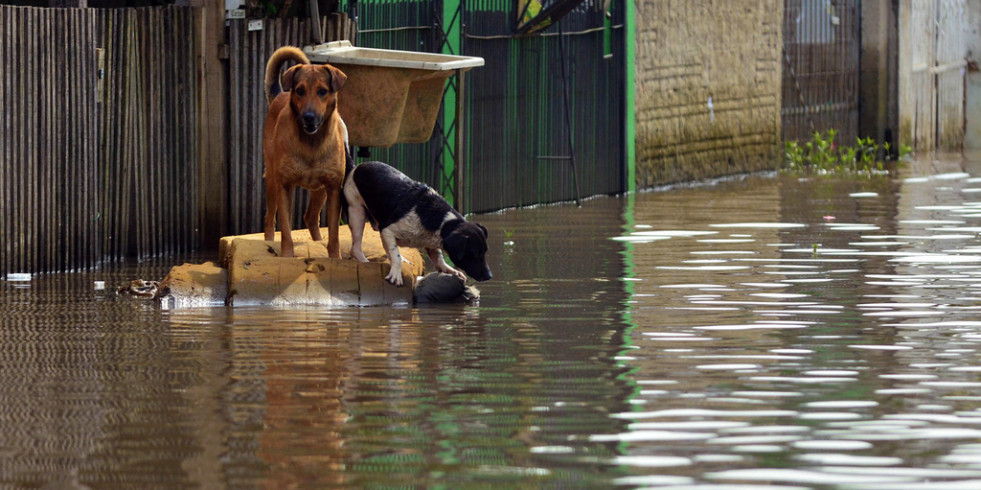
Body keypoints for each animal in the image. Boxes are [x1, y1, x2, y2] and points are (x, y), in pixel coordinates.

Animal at [264, 45, 348, 258]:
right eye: (300, 91)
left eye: (322, 91)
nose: (309, 117)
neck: (312, 143)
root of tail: (280, 94)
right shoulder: (284, 185)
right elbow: (286, 230)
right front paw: (287, 256)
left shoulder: (334, 188)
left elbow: (334, 233)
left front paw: (335, 257)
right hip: (272, 179)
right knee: (270, 217)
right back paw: (268, 241)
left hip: (321, 191)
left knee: (310, 216)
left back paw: (318, 241)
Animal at [344, 161, 494, 286]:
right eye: (474, 254)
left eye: (485, 251)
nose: (489, 276)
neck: (441, 222)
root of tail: (357, 167)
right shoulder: (387, 230)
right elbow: (395, 254)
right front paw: (396, 275)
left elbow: (438, 258)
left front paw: (450, 270)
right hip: (356, 213)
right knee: (356, 247)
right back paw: (364, 261)